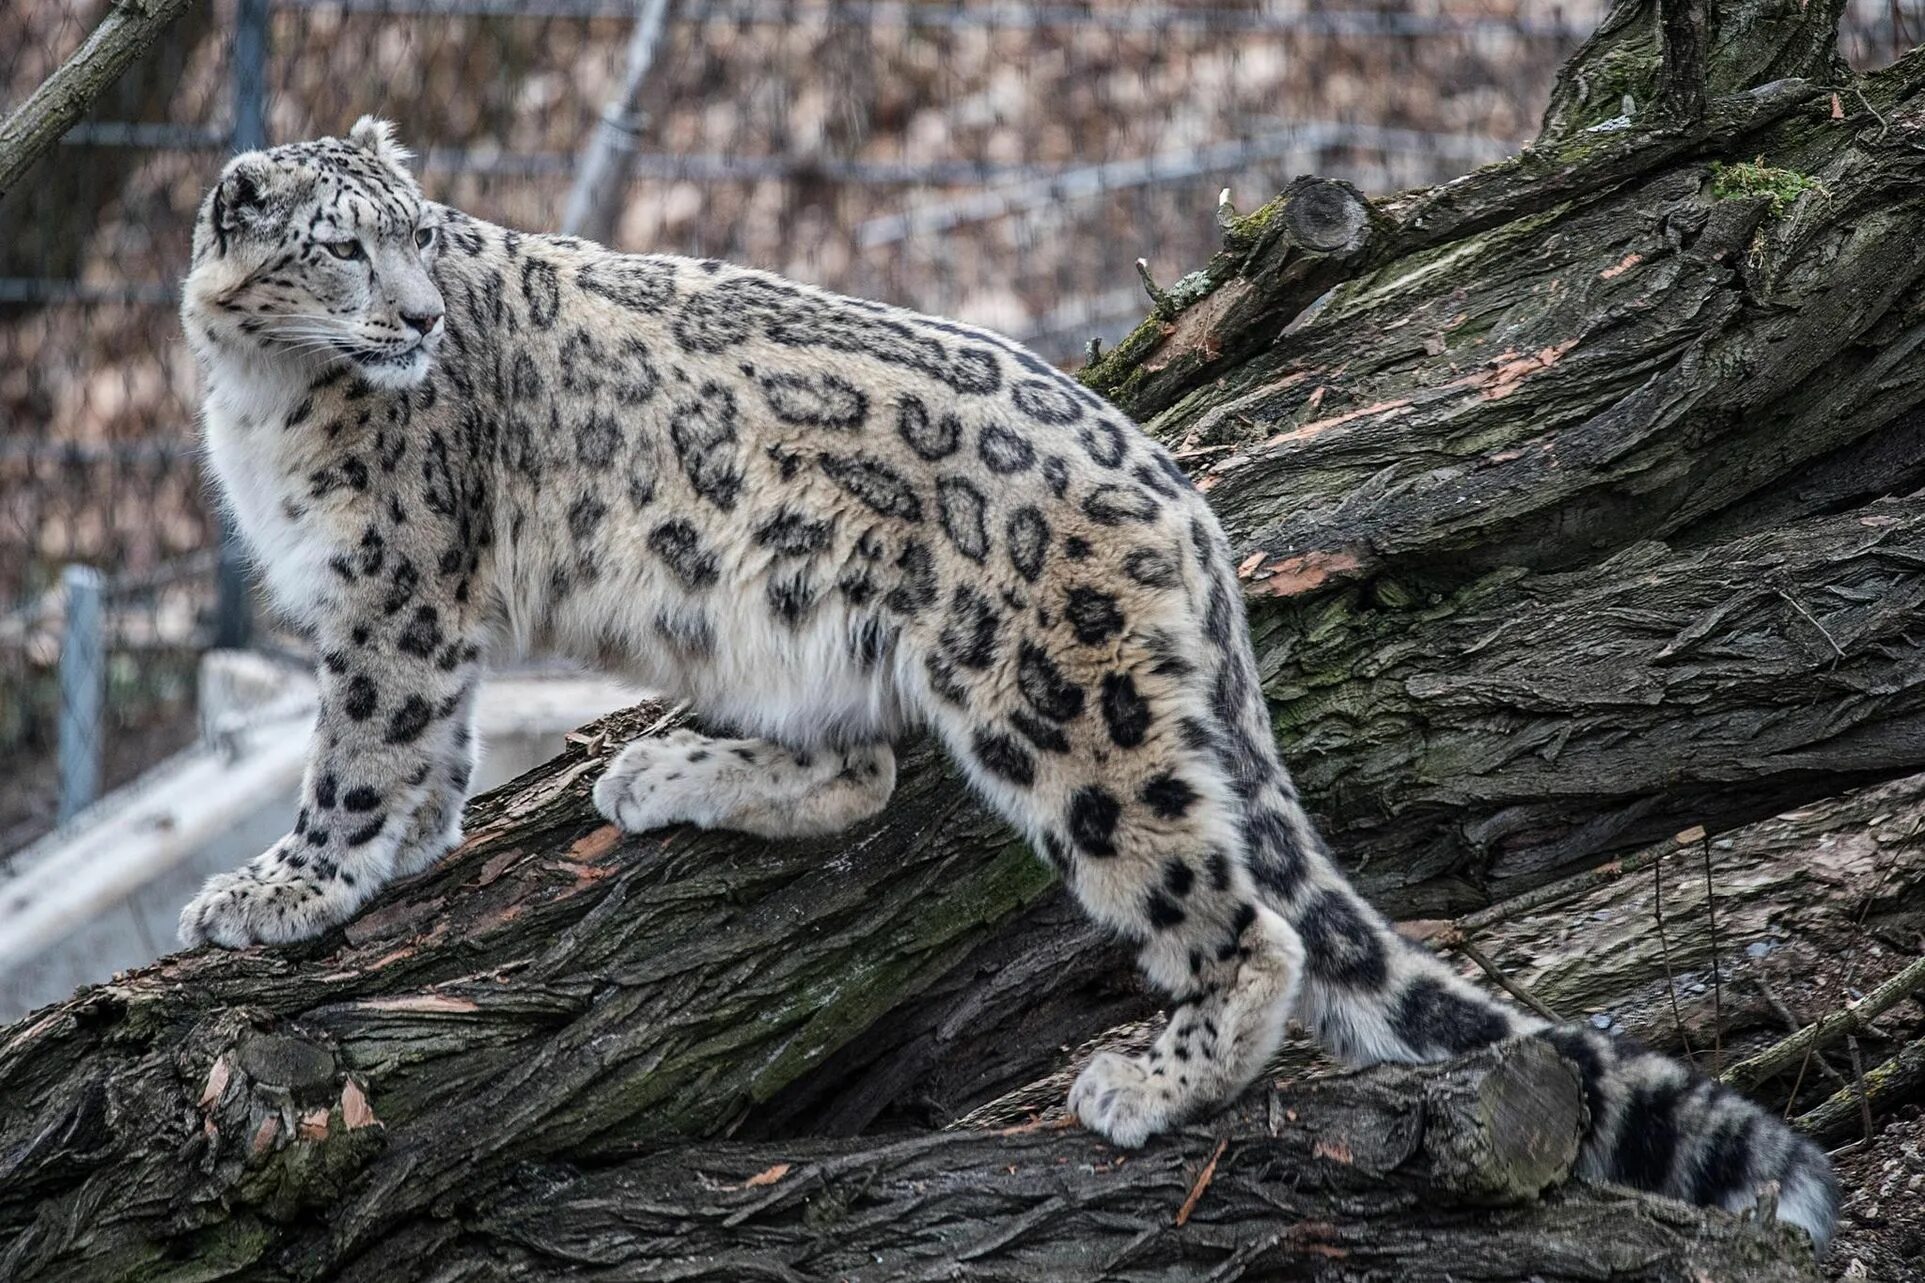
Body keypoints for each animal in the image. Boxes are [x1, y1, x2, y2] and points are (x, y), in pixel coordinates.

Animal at [177, 117, 1832, 1240]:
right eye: (347, 243)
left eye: (422, 236)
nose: (416, 320)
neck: (258, 403)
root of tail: (1177, 487)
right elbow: (421, 759)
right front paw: (371, 856)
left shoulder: (398, 584)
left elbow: (369, 748)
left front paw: (281, 886)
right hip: (779, 621)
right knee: (857, 767)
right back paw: (665, 768)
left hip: (1060, 708)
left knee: (1235, 912)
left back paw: (1152, 1076)